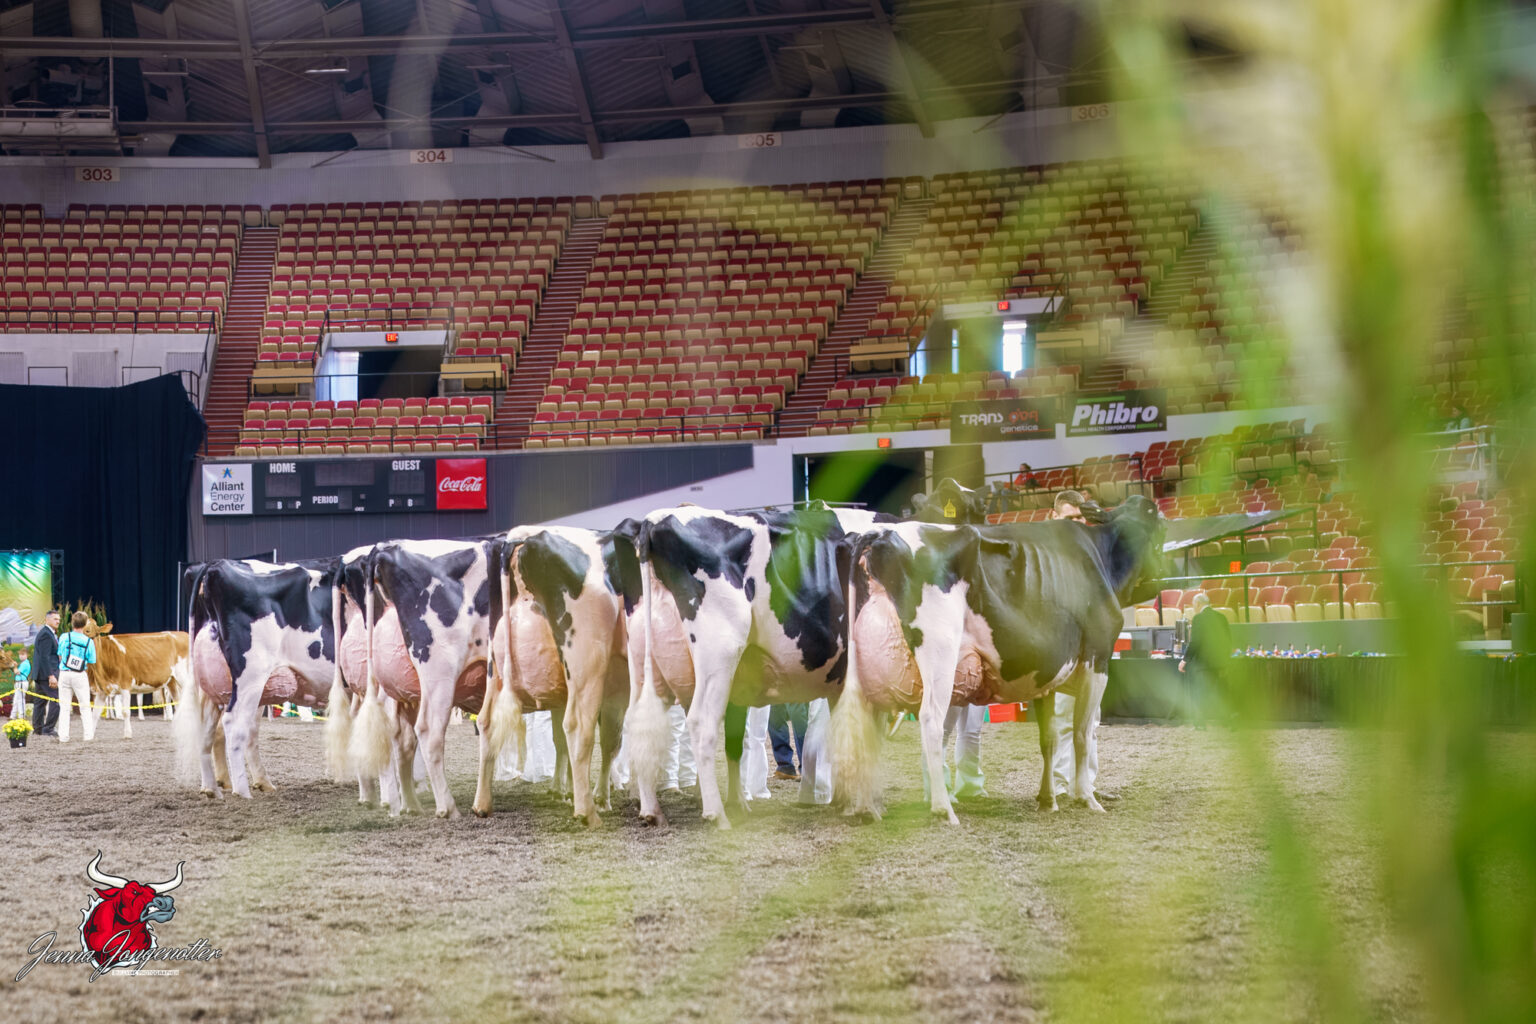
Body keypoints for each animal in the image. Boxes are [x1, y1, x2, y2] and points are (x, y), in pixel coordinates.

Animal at [179, 557, 340, 799]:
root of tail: (214, 566)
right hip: (250, 678)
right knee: (234, 725)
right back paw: (242, 791)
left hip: (214, 687)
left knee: (214, 731)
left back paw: (214, 788)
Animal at [344, 537, 503, 819]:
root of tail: (387, 549)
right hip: (439, 672)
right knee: (428, 730)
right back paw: (447, 807)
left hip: (396, 686)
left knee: (396, 735)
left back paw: (405, 803)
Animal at [471, 523, 639, 824]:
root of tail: (523, 537)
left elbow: (611, 740)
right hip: (586, 664)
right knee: (578, 727)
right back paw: (587, 813)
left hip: (497, 667)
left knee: (487, 721)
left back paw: (482, 804)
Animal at [624, 504, 891, 829]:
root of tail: (655, 520)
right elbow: (868, 739)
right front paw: (868, 807)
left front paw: (845, 801)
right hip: (721, 653)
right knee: (701, 722)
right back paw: (717, 814)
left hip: (644, 664)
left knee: (640, 724)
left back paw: (652, 810)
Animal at [831, 494, 1168, 823]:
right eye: (1159, 523)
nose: (1161, 575)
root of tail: (878, 533)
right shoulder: (1097, 658)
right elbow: (1082, 734)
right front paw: (1087, 798)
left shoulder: (1045, 674)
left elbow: (1049, 739)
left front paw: (1047, 800)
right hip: (940, 651)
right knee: (930, 720)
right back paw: (942, 808)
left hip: (862, 667)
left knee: (862, 726)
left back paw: (867, 808)